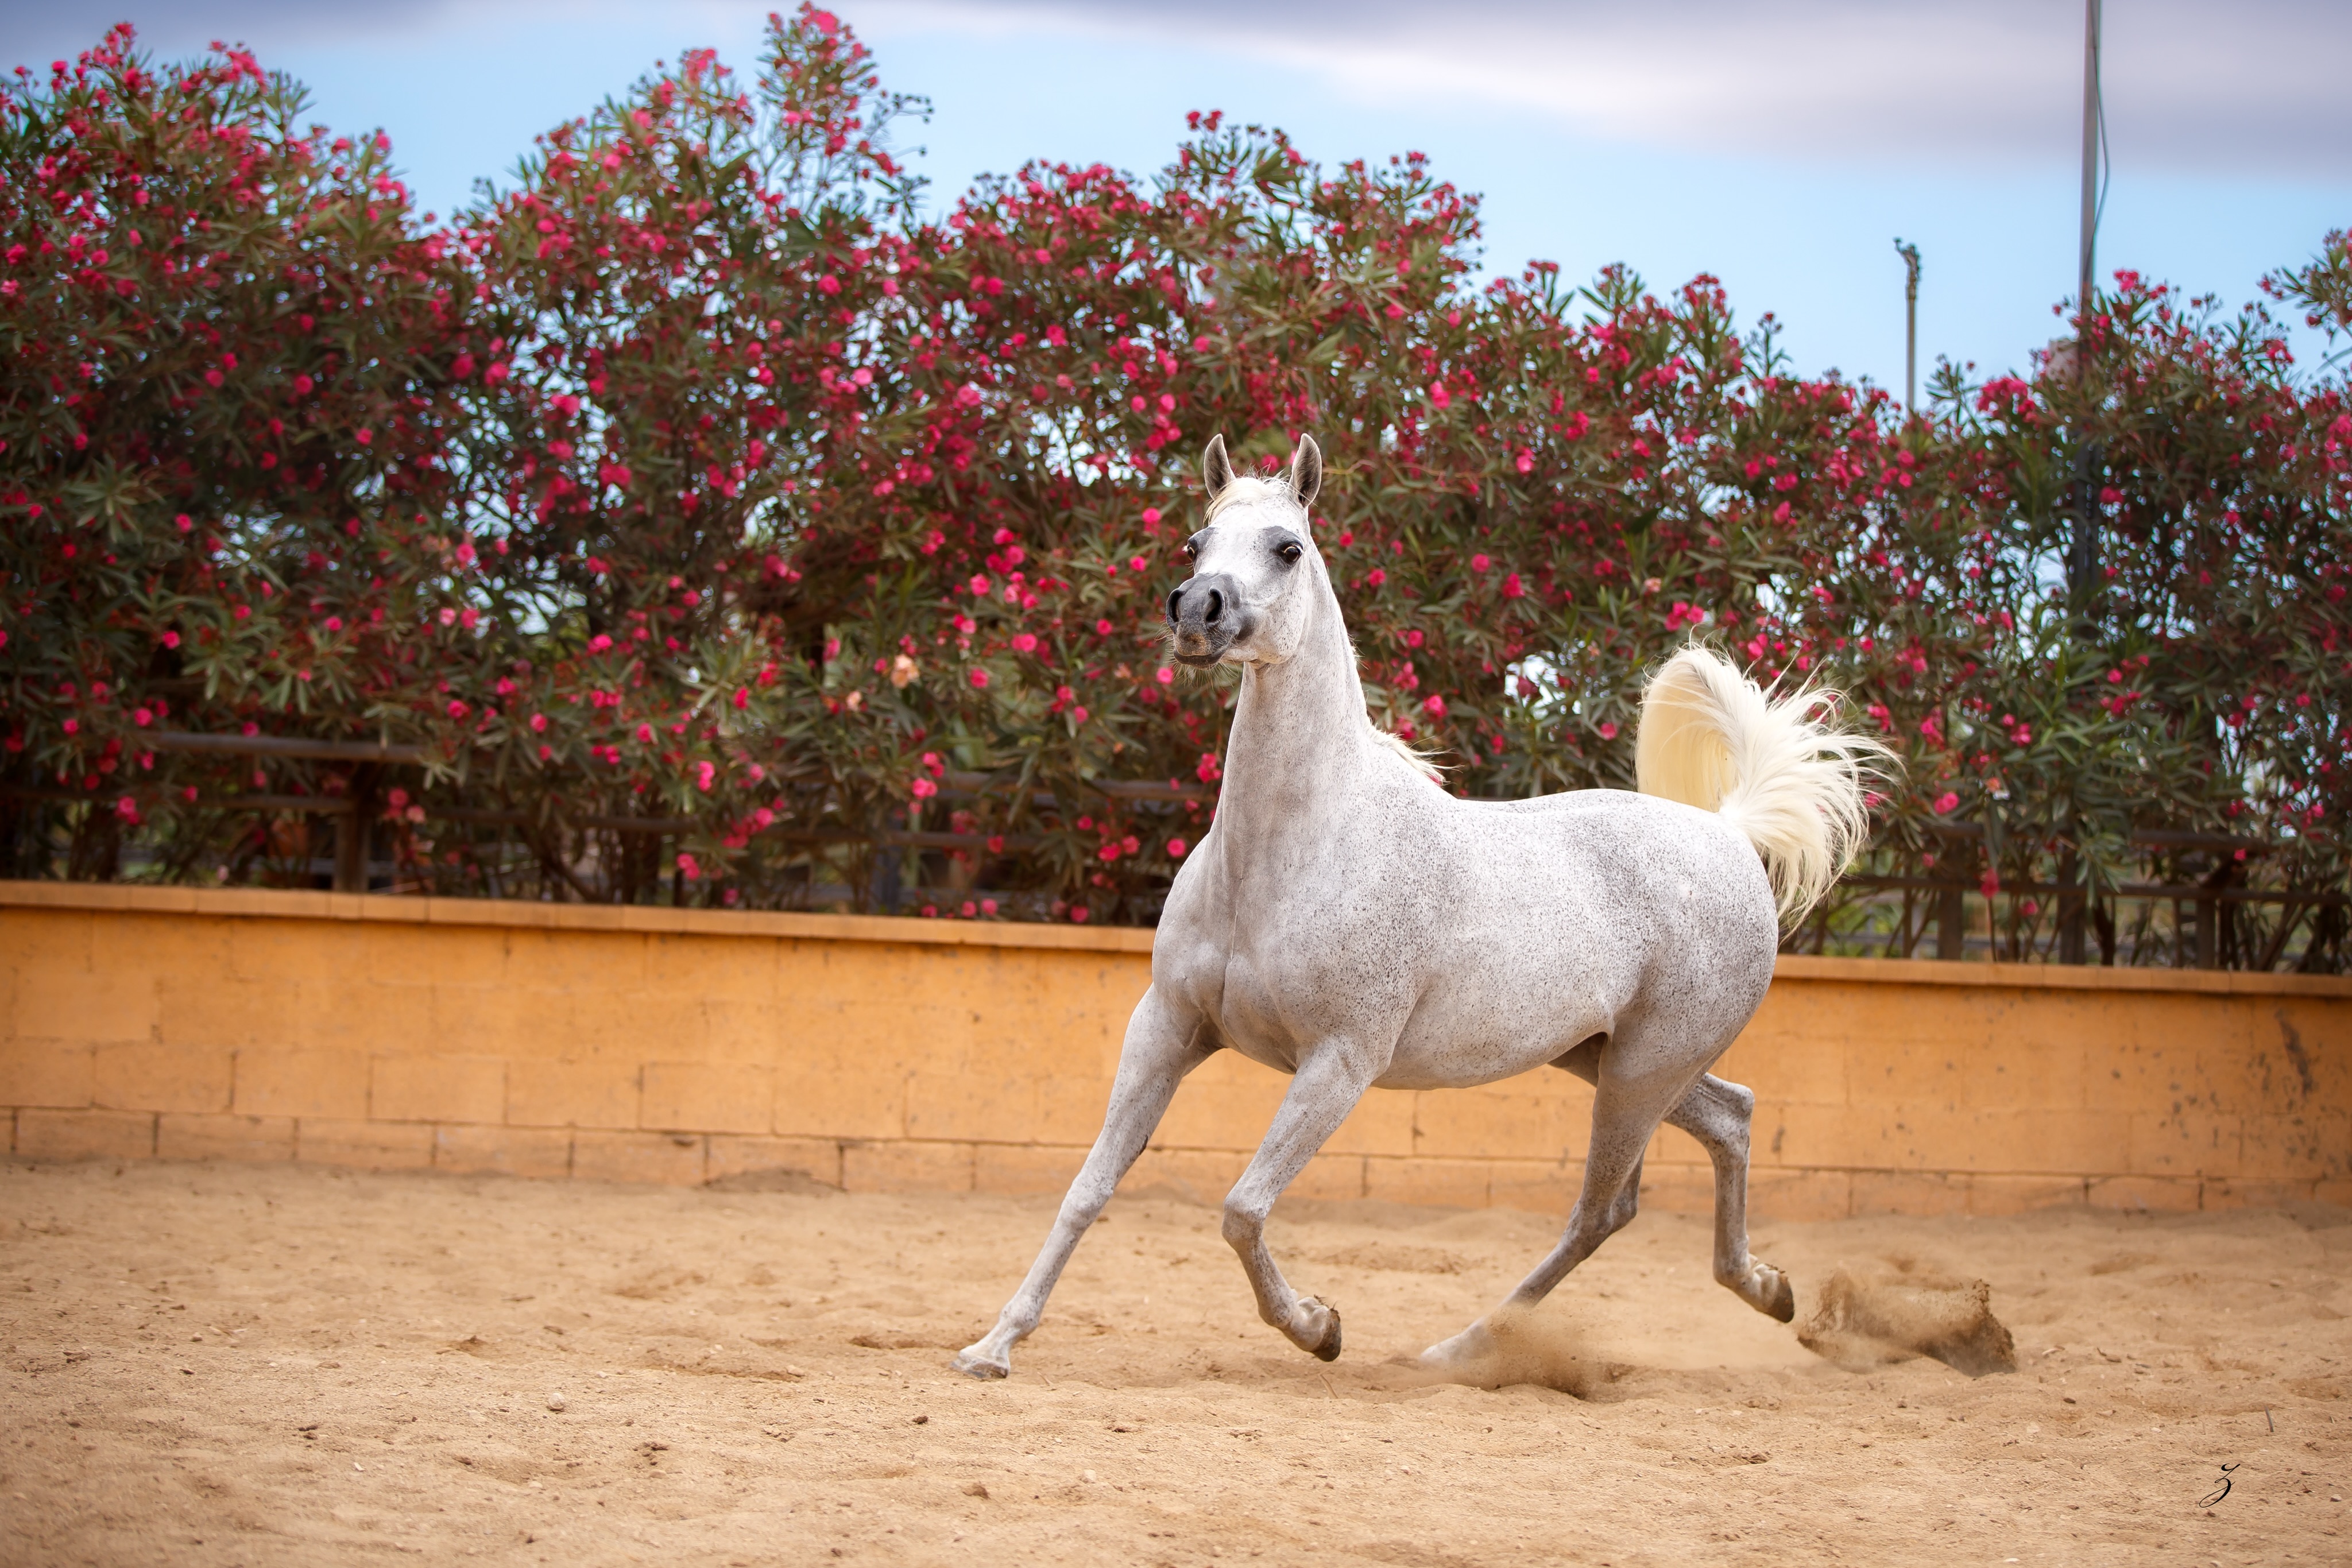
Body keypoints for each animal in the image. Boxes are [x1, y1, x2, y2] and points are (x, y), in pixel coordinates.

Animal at [952, 434, 1888, 1380]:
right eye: (1194, 543)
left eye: (1287, 548)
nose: (1197, 610)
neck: (1289, 856)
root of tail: (1729, 834)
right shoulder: (1168, 1026)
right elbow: (1089, 1187)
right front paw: (993, 1346)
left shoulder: (1340, 1060)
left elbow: (1242, 1207)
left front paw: (1318, 1326)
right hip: (1607, 1057)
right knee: (1730, 1119)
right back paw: (1767, 1289)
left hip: (1643, 1069)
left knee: (1602, 1209)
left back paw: (1462, 1348)